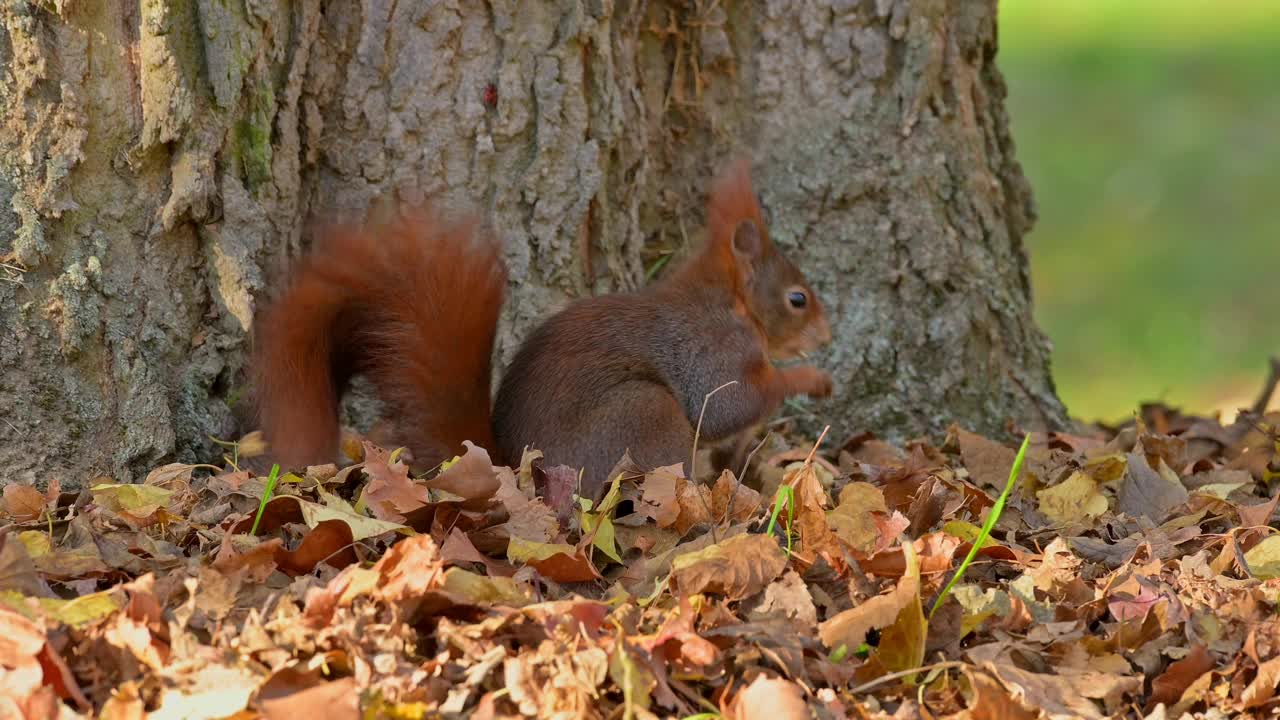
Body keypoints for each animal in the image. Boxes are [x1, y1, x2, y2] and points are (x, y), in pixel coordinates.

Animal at [253, 157, 834, 497]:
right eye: (798, 299)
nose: (827, 338)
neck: (732, 303)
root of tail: (515, 469)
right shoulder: (711, 353)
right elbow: (729, 405)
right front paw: (809, 381)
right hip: (644, 414)